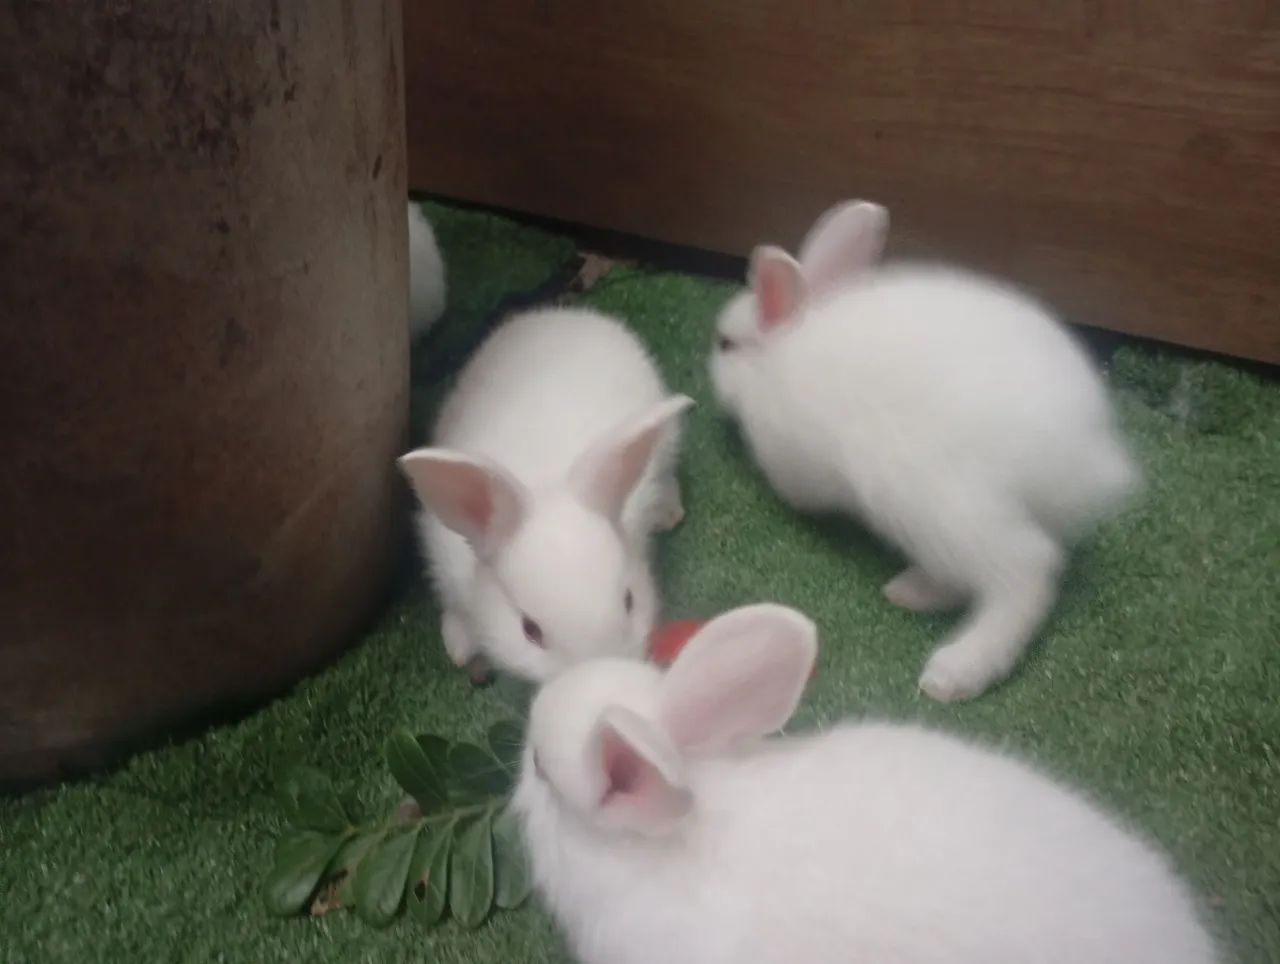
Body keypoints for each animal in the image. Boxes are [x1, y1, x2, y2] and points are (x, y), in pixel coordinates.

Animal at [709, 200, 1142, 701]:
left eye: (726, 344)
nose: (710, 363)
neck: (778, 355)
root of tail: (1089, 465)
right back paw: (909, 592)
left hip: (939, 507)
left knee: (1026, 571)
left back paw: (953, 670)